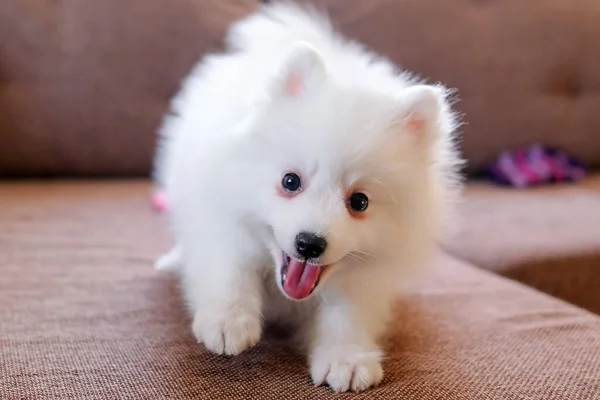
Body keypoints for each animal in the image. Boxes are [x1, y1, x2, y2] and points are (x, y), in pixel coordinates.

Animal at [154, 0, 460, 394]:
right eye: (290, 181)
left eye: (359, 202)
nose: (309, 243)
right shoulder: (221, 219)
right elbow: (230, 268)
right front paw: (228, 321)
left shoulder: (363, 278)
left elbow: (346, 313)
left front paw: (346, 358)